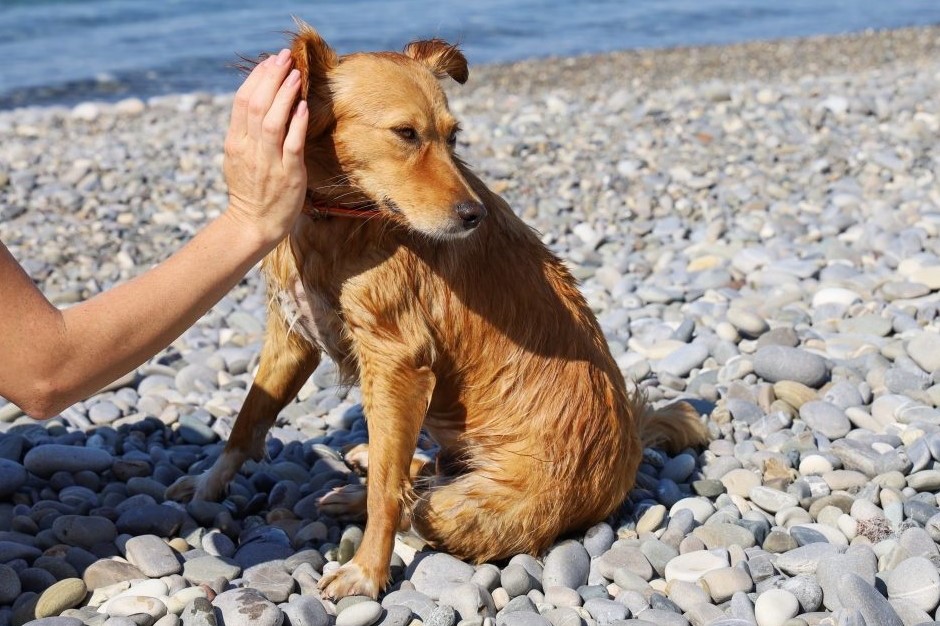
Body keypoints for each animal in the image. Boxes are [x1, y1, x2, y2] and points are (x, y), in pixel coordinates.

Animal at [167, 22, 704, 596]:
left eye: (453, 136)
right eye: (406, 133)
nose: (474, 215)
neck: (339, 220)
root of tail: (628, 455)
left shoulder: (397, 362)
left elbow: (386, 491)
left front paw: (367, 571)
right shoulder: (293, 336)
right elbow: (248, 422)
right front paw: (206, 483)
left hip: (467, 508)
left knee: (417, 500)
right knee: (416, 472)